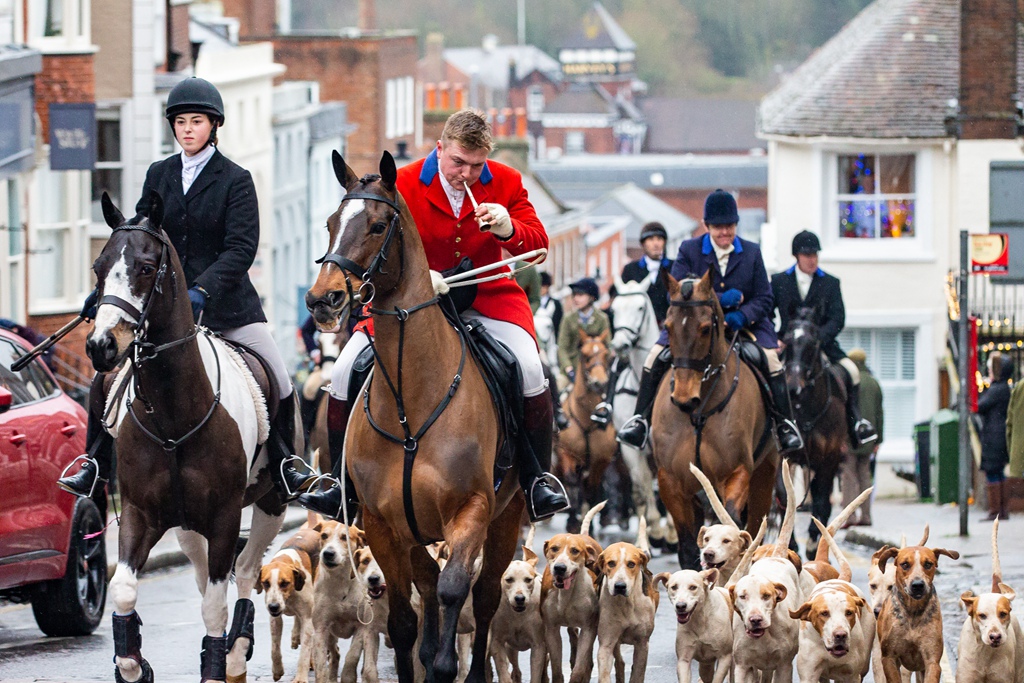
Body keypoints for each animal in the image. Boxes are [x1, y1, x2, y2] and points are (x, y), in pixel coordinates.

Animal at [84, 192, 288, 683]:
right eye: (99, 267)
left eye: (144, 267)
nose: (102, 346)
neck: (173, 416)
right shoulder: (140, 512)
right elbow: (123, 589)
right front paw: (133, 663)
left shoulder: (225, 516)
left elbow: (216, 604)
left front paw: (218, 661)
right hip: (186, 526)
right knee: (202, 577)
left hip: (270, 502)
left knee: (246, 570)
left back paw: (236, 651)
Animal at [301, 153, 524, 683]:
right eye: (331, 223)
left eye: (378, 225)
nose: (323, 299)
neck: (411, 405)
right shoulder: (382, 524)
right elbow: (403, 620)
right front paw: (419, 659)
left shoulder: (471, 511)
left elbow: (454, 589)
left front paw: (445, 665)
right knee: (425, 583)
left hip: (507, 518)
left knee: (484, 594)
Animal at [651, 272, 778, 573]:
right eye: (668, 327)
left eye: (706, 328)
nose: (684, 398)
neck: (699, 411)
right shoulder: (671, 482)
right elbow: (688, 545)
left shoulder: (736, 473)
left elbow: (731, 523)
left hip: (764, 477)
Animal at [782, 313, 847, 557]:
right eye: (786, 343)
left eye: (812, 344)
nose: (793, 388)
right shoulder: (785, 457)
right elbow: (786, 500)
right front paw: (791, 544)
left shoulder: (829, 460)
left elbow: (822, 503)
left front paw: (813, 542)